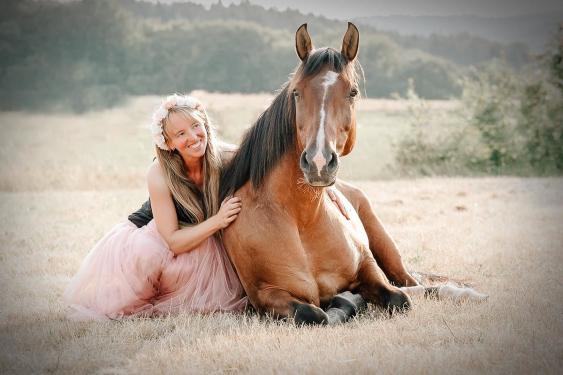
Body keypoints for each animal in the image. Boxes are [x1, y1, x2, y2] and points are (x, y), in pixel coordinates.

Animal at [220, 23, 450, 324]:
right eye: (296, 92)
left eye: (352, 92)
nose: (318, 161)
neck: (301, 218)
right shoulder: (265, 295)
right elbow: (315, 313)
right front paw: (345, 301)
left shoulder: (367, 266)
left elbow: (399, 299)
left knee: (412, 284)